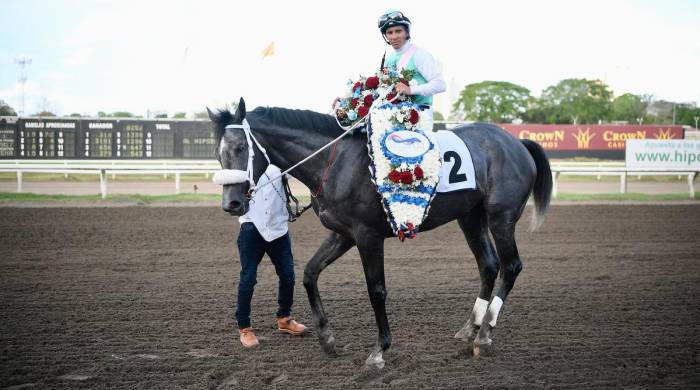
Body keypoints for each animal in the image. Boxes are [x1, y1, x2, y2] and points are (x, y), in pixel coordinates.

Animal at [208, 99, 552, 368]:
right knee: (488, 265)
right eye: (218, 153)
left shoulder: (367, 235)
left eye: (241, 147)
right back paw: (471, 328)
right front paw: (327, 338)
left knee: (511, 266)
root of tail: (516, 143)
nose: (231, 203)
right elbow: (309, 274)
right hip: (470, 217)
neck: (336, 160)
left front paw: (379, 351)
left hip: (501, 217)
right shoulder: (343, 234)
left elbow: (376, 291)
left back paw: (485, 336)